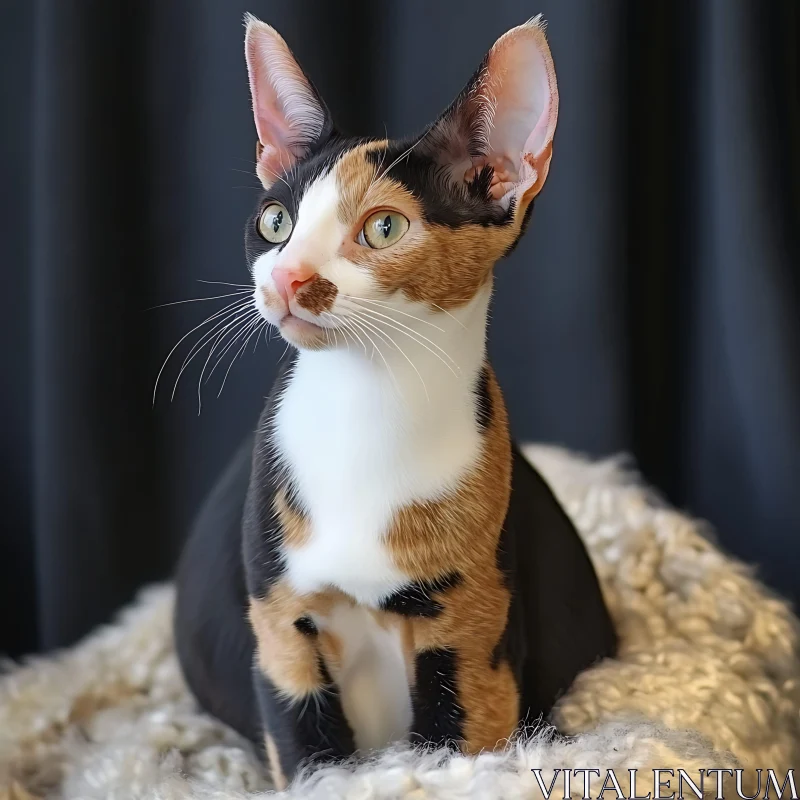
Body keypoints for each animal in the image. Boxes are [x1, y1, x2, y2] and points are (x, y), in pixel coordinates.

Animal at [173, 15, 612, 792]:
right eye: (276, 221)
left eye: (384, 228)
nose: (287, 279)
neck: (367, 410)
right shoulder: (281, 627)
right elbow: (308, 755)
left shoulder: (473, 636)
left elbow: (457, 750)